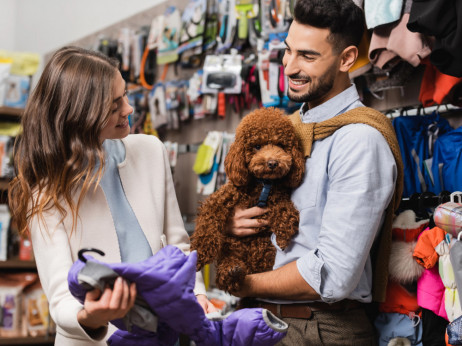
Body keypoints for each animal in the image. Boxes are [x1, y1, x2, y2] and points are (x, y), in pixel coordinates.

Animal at [189, 107, 304, 292]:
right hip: (231, 249)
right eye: (257, 146)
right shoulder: (218, 201)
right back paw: (231, 271)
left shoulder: (278, 197)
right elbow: (207, 226)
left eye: (280, 145)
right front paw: (198, 254)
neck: (262, 185)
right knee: (224, 274)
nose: (272, 163)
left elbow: (286, 211)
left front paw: (284, 234)